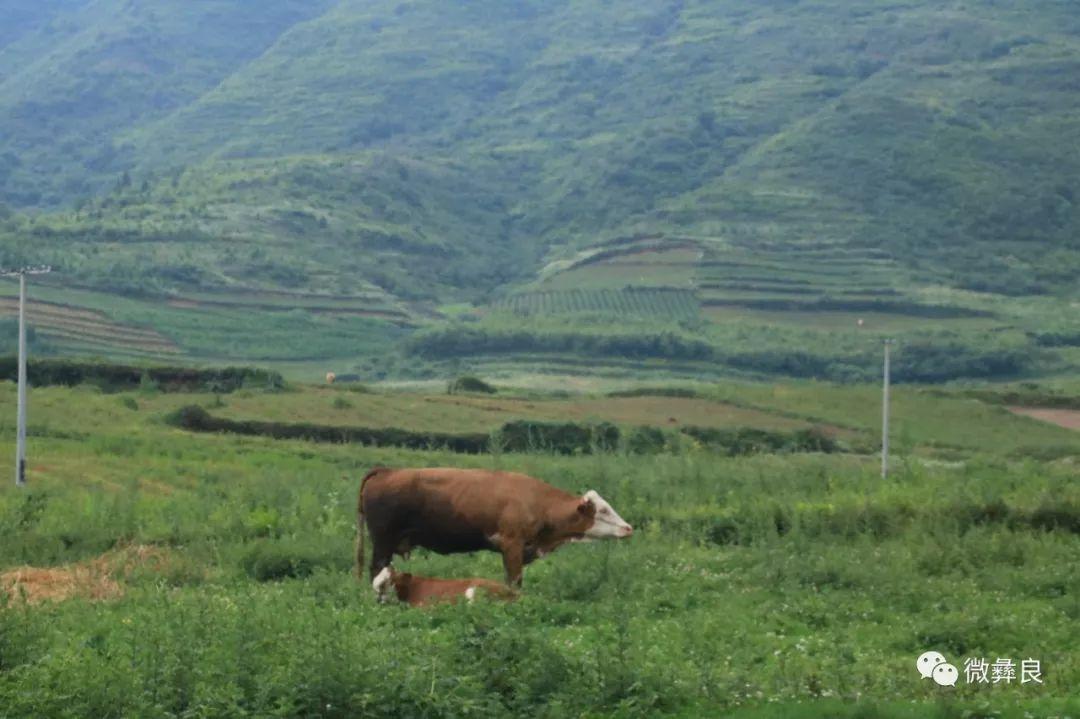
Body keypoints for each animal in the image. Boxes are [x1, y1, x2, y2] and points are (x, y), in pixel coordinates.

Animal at [354, 468, 630, 587]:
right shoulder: (512, 545)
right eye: (604, 510)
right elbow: (514, 581)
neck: (536, 501)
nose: (628, 527)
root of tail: (386, 471)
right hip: (383, 542)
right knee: (376, 569)